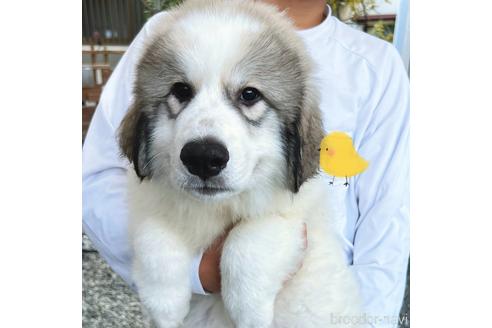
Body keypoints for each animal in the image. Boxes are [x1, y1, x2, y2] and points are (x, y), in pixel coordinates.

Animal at [118, 0, 362, 328]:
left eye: (249, 94)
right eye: (181, 91)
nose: (203, 157)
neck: (215, 209)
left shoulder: (298, 217)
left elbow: (248, 237)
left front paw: (250, 313)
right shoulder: (149, 199)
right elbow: (152, 234)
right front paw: (164, 306)